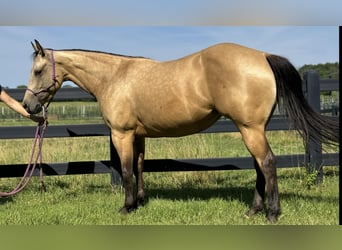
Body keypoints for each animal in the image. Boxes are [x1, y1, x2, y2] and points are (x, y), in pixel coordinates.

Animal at [22, 40, 338, 222]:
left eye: (37, 71)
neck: (115, 76)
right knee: (260, 165)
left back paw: (272, 213)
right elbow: (139, 167)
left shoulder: (122, 134)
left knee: (268, 163)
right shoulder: (139, 135)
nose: (28, 105)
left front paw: (126, 207)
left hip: (250, 129)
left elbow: (125, 170)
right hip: (253, 129)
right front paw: (140, 202)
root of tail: (262, 55)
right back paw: (253, 210)